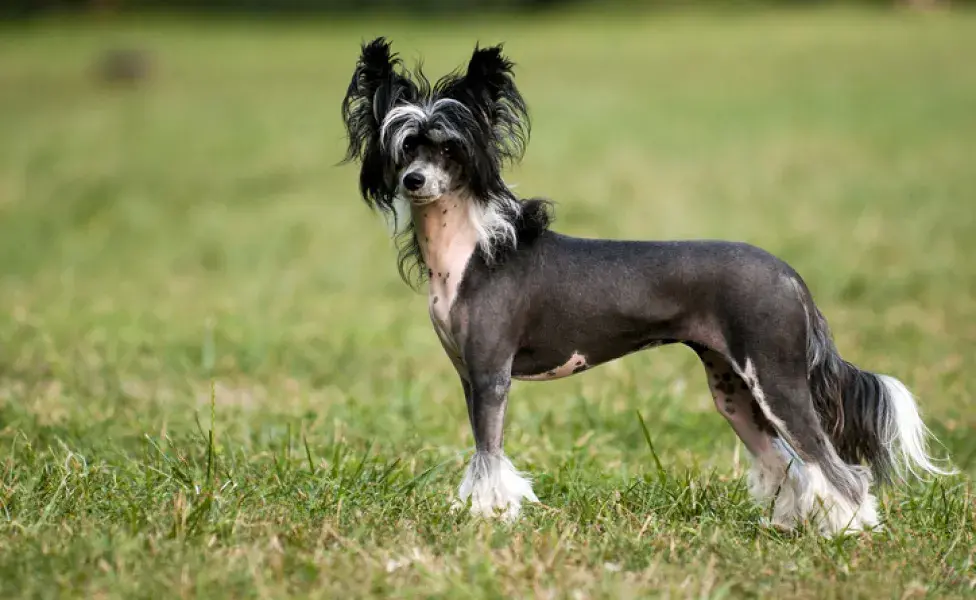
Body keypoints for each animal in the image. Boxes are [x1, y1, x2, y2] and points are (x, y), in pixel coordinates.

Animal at [340, 37, 948, 536]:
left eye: (449, 148)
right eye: (404, 147)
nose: (414, 181)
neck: (472, 249)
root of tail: (789, 274)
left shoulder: (491, 377)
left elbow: (490, 457)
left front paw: (488, 518)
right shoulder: (469, 377)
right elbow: (480, 450)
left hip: (777, 380)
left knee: (835, 467)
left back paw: (850, 531)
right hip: (733, 390)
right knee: (785, 463)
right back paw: (787, 526)